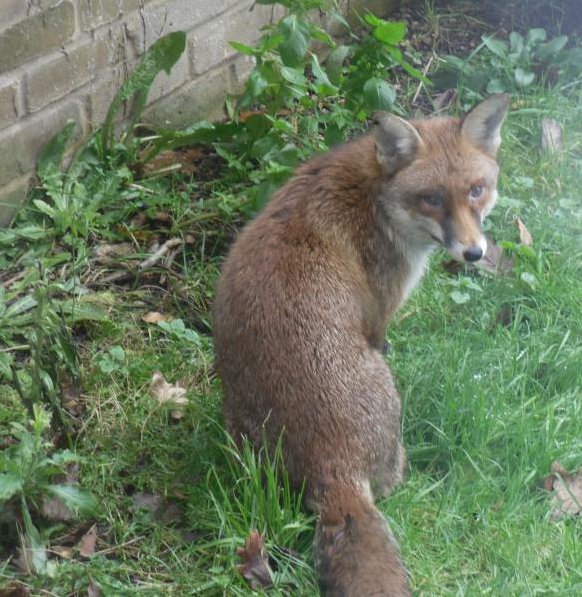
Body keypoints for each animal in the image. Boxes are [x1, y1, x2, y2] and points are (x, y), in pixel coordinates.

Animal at [214, 95, 512, 592]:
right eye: (432, 199)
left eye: (476, 190)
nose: (473, 253)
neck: (375, 197)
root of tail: (335, 469)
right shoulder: (380, 315)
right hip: (387, 398)